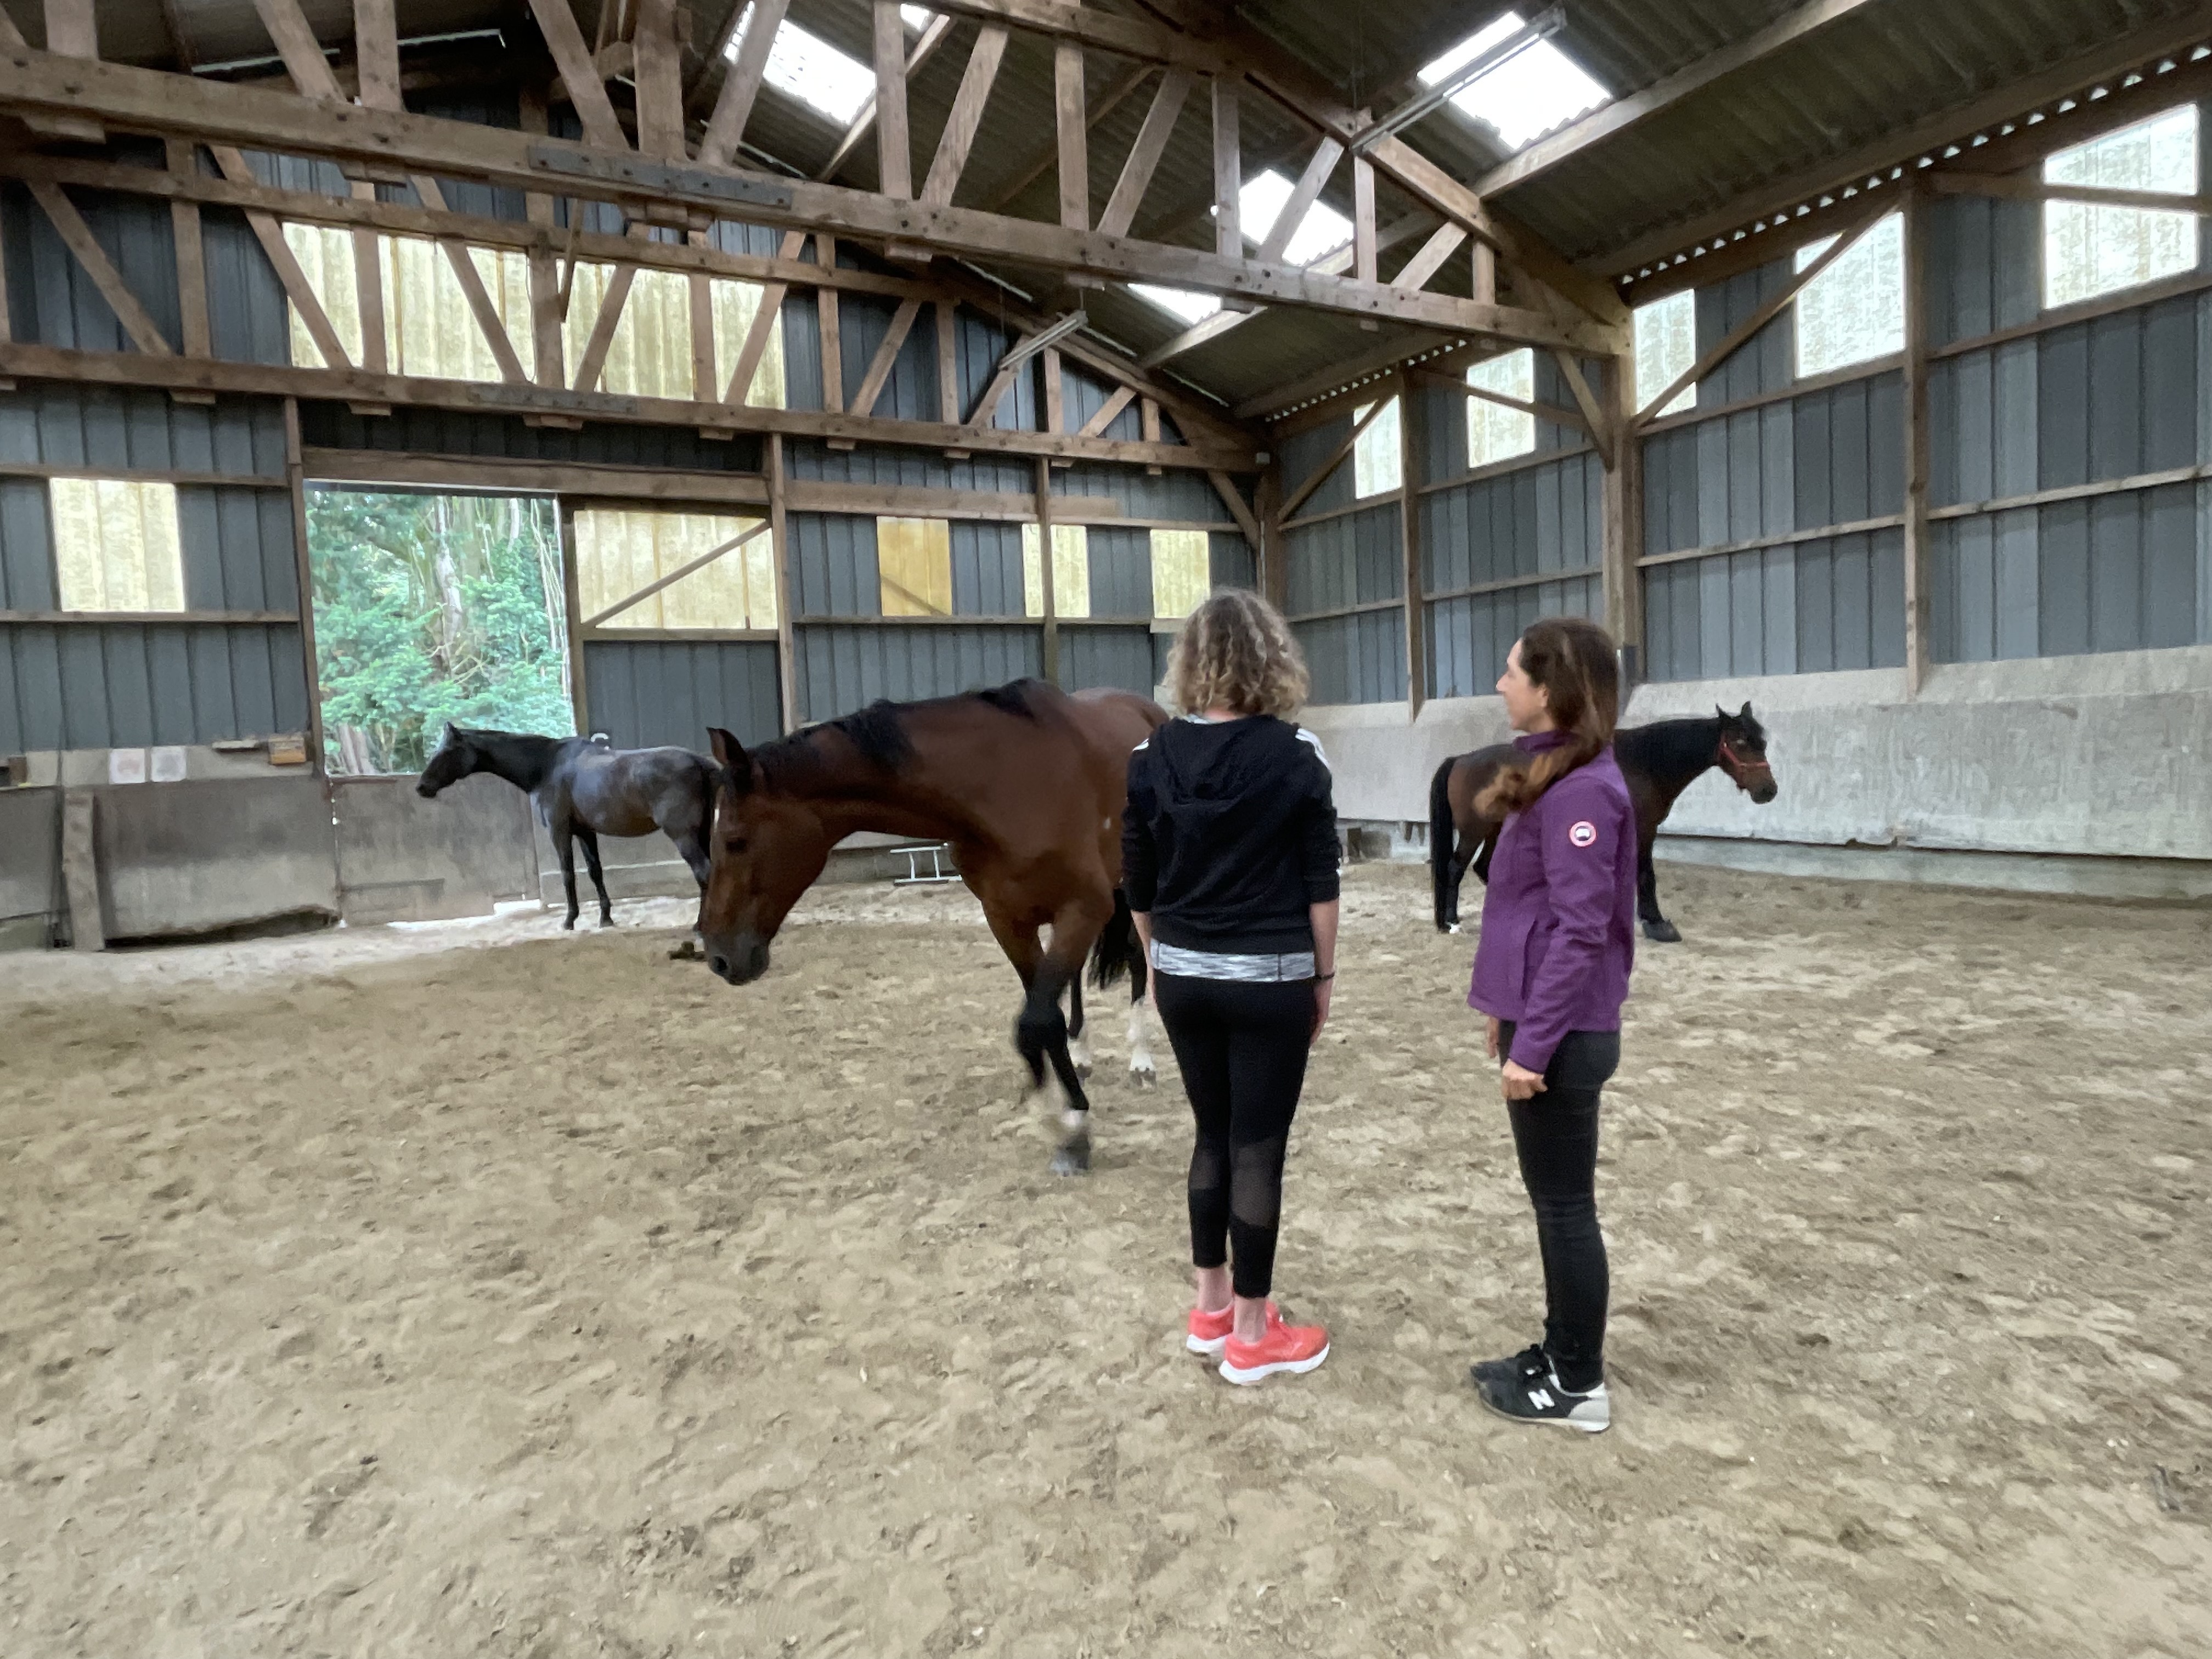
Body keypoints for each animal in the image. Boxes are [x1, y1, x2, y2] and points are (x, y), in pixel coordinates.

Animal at [417, 725, 718, 932]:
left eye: (447, 751)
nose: (421, 787)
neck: (546, 766)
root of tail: (700, 762)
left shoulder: (559, 831)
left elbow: (568, 874)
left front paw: (569, 920)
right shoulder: (585, 832)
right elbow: (595, 872)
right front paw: (606, 918)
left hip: (683, 836)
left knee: (704, 873)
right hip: (701, 833)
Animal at [696, 679, 1169, 1177]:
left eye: (735, 841)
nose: (718, 954)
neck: (1006, 784)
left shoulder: (1084, 907)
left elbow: (1036, 1019)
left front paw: (1073, 1126)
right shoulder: (1008, 920)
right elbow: (1045, 1019)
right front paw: (1060, 1115)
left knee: (1138, 960)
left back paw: (1142, 1061)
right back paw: (1084, 1053)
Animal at [1430, 703, 1778, 943]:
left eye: (1761, 742)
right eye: (1740, 743)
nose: (1769, 791)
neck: (1643, 763)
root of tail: (1461, 759)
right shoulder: (1643, 829)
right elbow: (1646, 876)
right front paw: (1656, 924)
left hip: (1495, 829)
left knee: (1483, 867)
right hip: (1475, 830)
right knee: (1456, 867)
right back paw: (1451, 922)